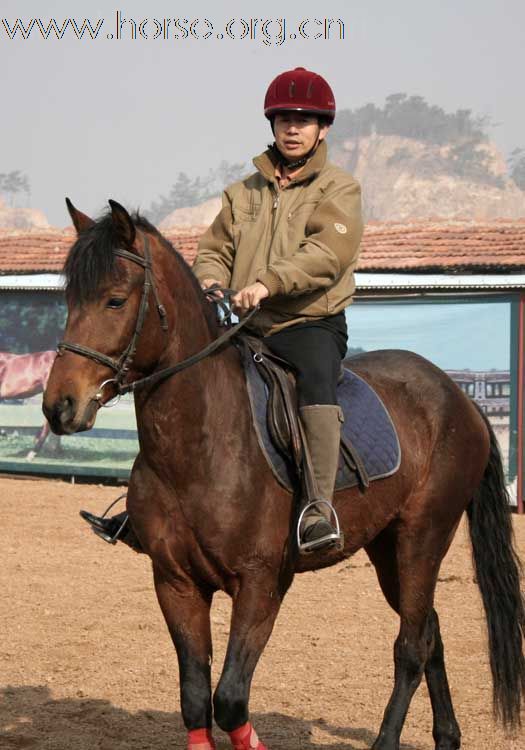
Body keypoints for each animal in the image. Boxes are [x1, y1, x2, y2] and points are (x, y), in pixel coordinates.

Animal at [42, 201, 524, 750]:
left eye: (116, 300)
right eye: (70, 300)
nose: (60, 407)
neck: (203, 441)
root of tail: (458, 395)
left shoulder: (260, 584)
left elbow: (230, 699)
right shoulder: (175, 583)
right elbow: (195, 699)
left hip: (423, 537)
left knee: (411, 646)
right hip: (388, 548)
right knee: (429, 632)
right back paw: (447, 736)